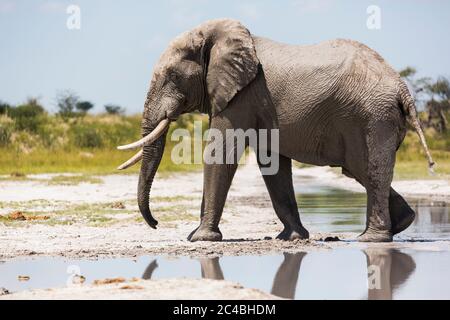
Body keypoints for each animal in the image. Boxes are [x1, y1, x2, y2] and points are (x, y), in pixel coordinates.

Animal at [118, 18, 434, 242]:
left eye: (172, 76)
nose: (156, 224)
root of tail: (402, 87)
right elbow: (272, 163)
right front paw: (291, 238)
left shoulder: (243, 95)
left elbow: (221, 154)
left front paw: (201, 239)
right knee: (359, 170)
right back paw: (402, 223)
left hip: (372, 116)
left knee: (369, 170)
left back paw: (371, 239)